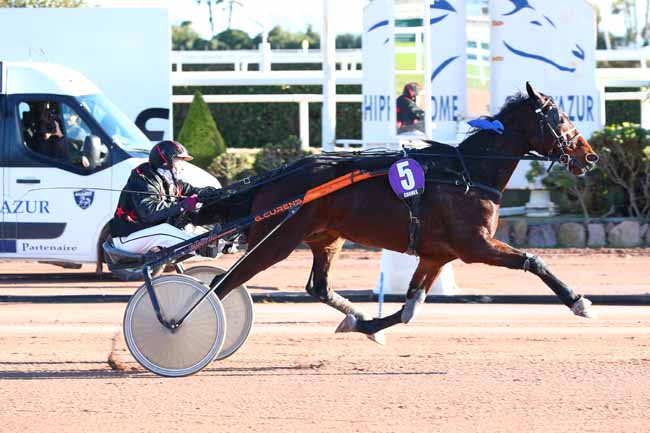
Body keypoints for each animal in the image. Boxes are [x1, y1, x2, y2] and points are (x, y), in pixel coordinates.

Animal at [194, 82, 596, 342]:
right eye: (558, 118)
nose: (589, 156)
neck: (468, 172)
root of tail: (272, 179)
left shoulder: (436, 255)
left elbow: (410, 308)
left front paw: (364, 326)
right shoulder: (475, 246)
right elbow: (534, 260)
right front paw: (579, 302)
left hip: (327, 238)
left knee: (317, 287)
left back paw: (352, 314)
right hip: (275, 241)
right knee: (223, 283)